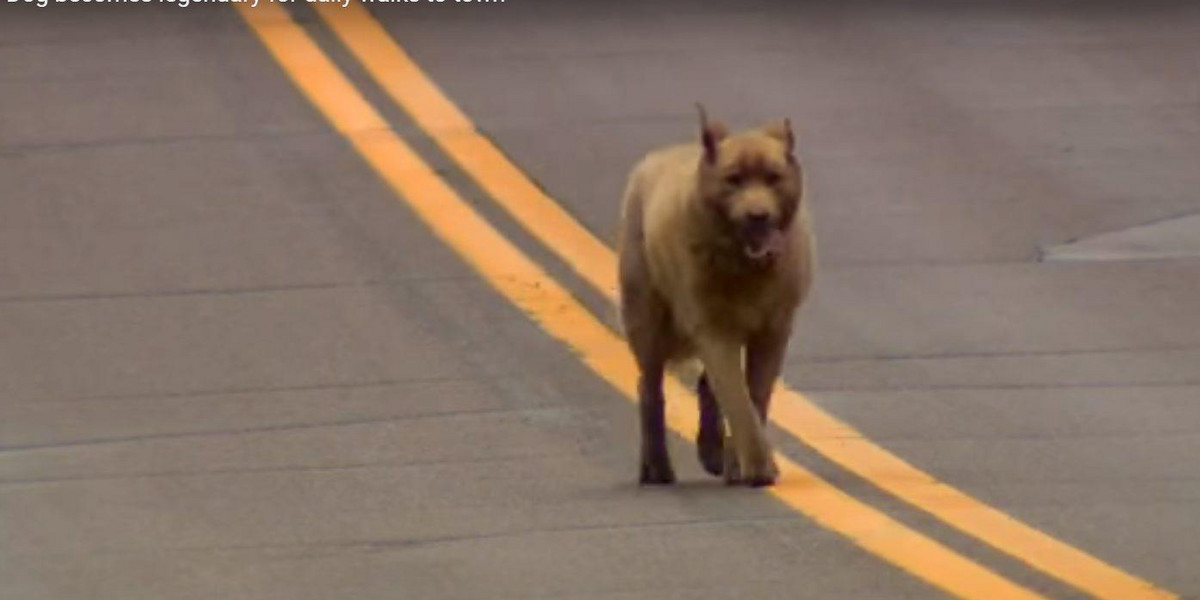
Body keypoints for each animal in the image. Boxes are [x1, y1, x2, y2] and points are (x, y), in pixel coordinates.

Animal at [619, 105, 816, 484]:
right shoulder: (712, 327)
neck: (744, 265)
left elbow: (755, 393)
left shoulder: (774, 329)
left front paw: (737, 461)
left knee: (706, 387)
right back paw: (657, 466)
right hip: (646, 316)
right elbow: (737, 397)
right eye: (733, 179)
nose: (758, 216)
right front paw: (757, 465)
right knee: (650, 387)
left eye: (773, 178)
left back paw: (711, 452)